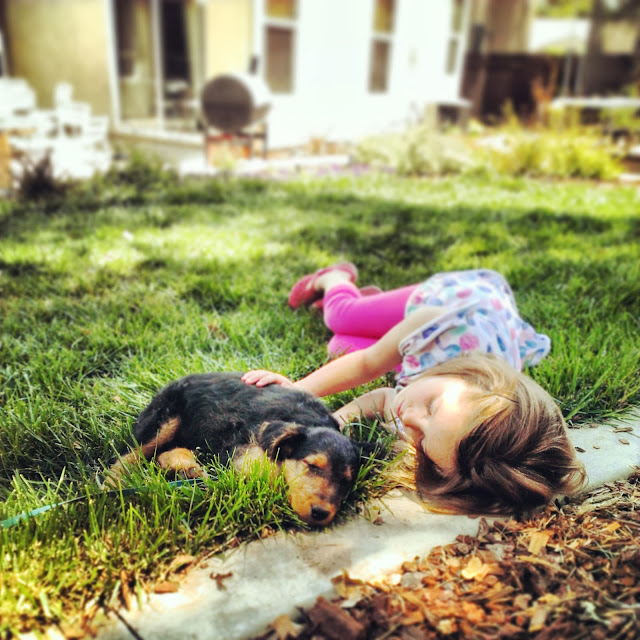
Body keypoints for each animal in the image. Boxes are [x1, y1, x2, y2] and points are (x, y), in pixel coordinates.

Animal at [108, 372, 363, 526]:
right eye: (311, 465)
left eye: (346, 481)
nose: (321, 513)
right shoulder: (240, 445)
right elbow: (263, 472)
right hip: (163, 421)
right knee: (127, 455)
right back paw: (113, 485)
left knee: (164, 453)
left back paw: (186, 468)